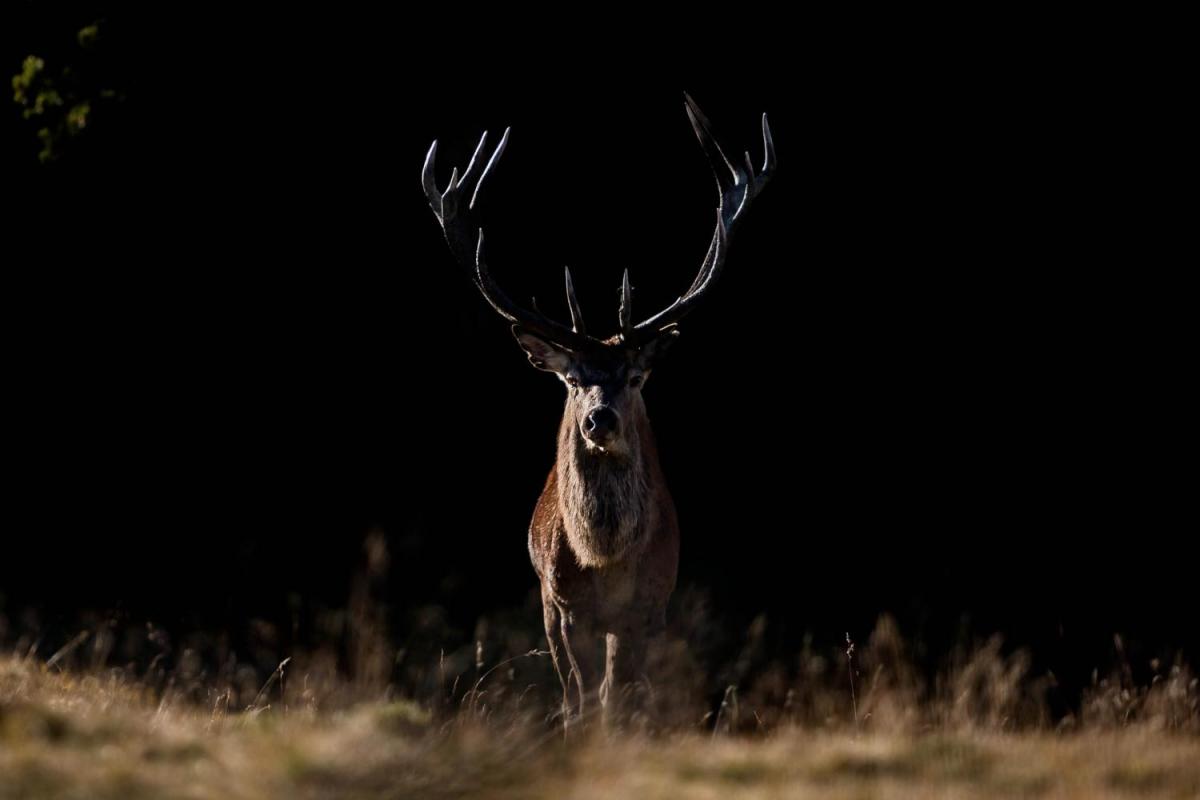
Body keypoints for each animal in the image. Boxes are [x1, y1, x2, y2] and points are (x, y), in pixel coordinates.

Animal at [421, 94, 774, 727]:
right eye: (571, 378)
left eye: (635, 377)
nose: (599, 419)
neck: (606, 562)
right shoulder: (561, 604)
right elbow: (582, 702)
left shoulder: (651, 605)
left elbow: (621, 697)